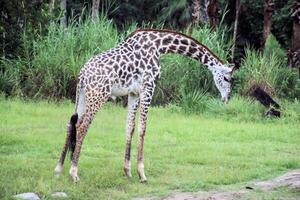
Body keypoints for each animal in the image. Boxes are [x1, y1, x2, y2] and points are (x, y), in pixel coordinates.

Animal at [54, 28, 237, 183]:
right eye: (227, 78)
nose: (226, 98)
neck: (160, 46)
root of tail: (83, 74)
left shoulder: (134, 93)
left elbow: (130, 127)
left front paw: (127, 171)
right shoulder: (149, 87)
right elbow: (143, 128)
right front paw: (142, 174)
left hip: (82, 96)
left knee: (71, 123)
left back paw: (58, 169)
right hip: (99, 95)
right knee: (83, 125)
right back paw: (74, 173)